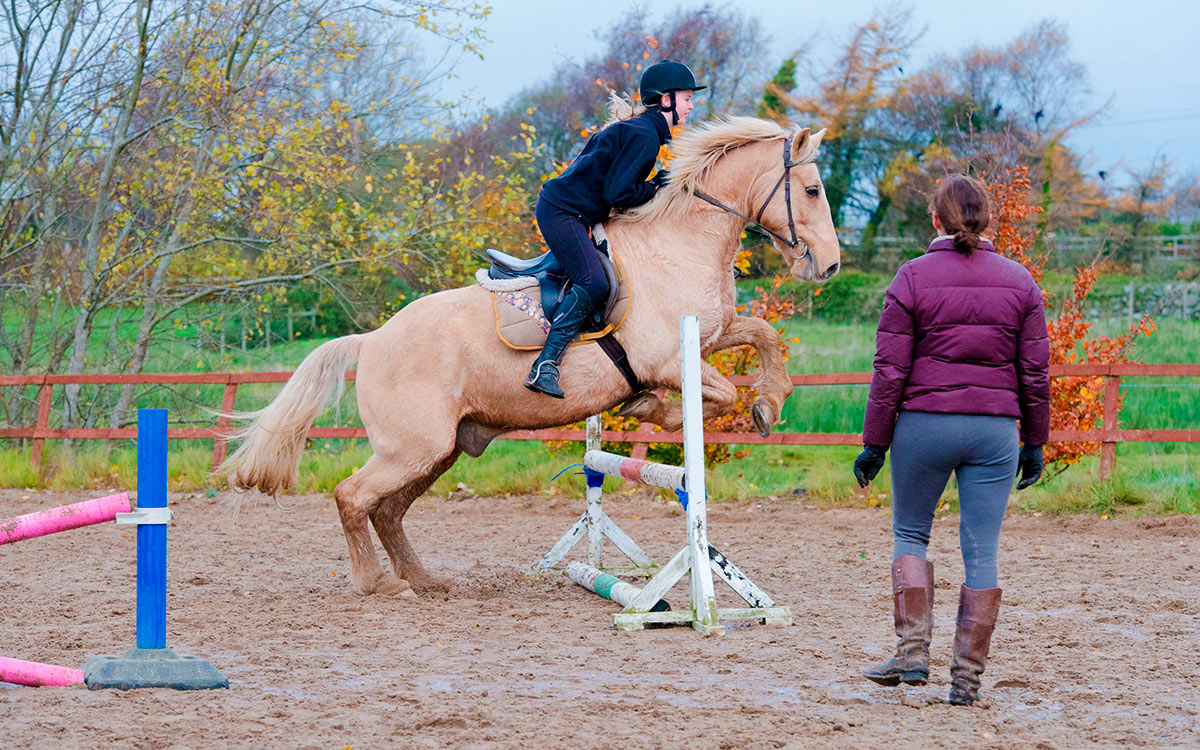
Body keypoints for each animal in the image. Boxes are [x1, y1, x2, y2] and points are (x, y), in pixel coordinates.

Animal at [226, 117, 844, 597]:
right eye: (813, 190)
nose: (831, 266)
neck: (679, 244)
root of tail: (372, 339)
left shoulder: (712, 335)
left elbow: (762, 335)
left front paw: (768, 403)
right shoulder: (670, 360)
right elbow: (714, 393)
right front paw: (653, 410)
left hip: (440, 449)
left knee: (388, 510)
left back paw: (424, 580)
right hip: (413, 447)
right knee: (353, 497)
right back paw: (378, 583)